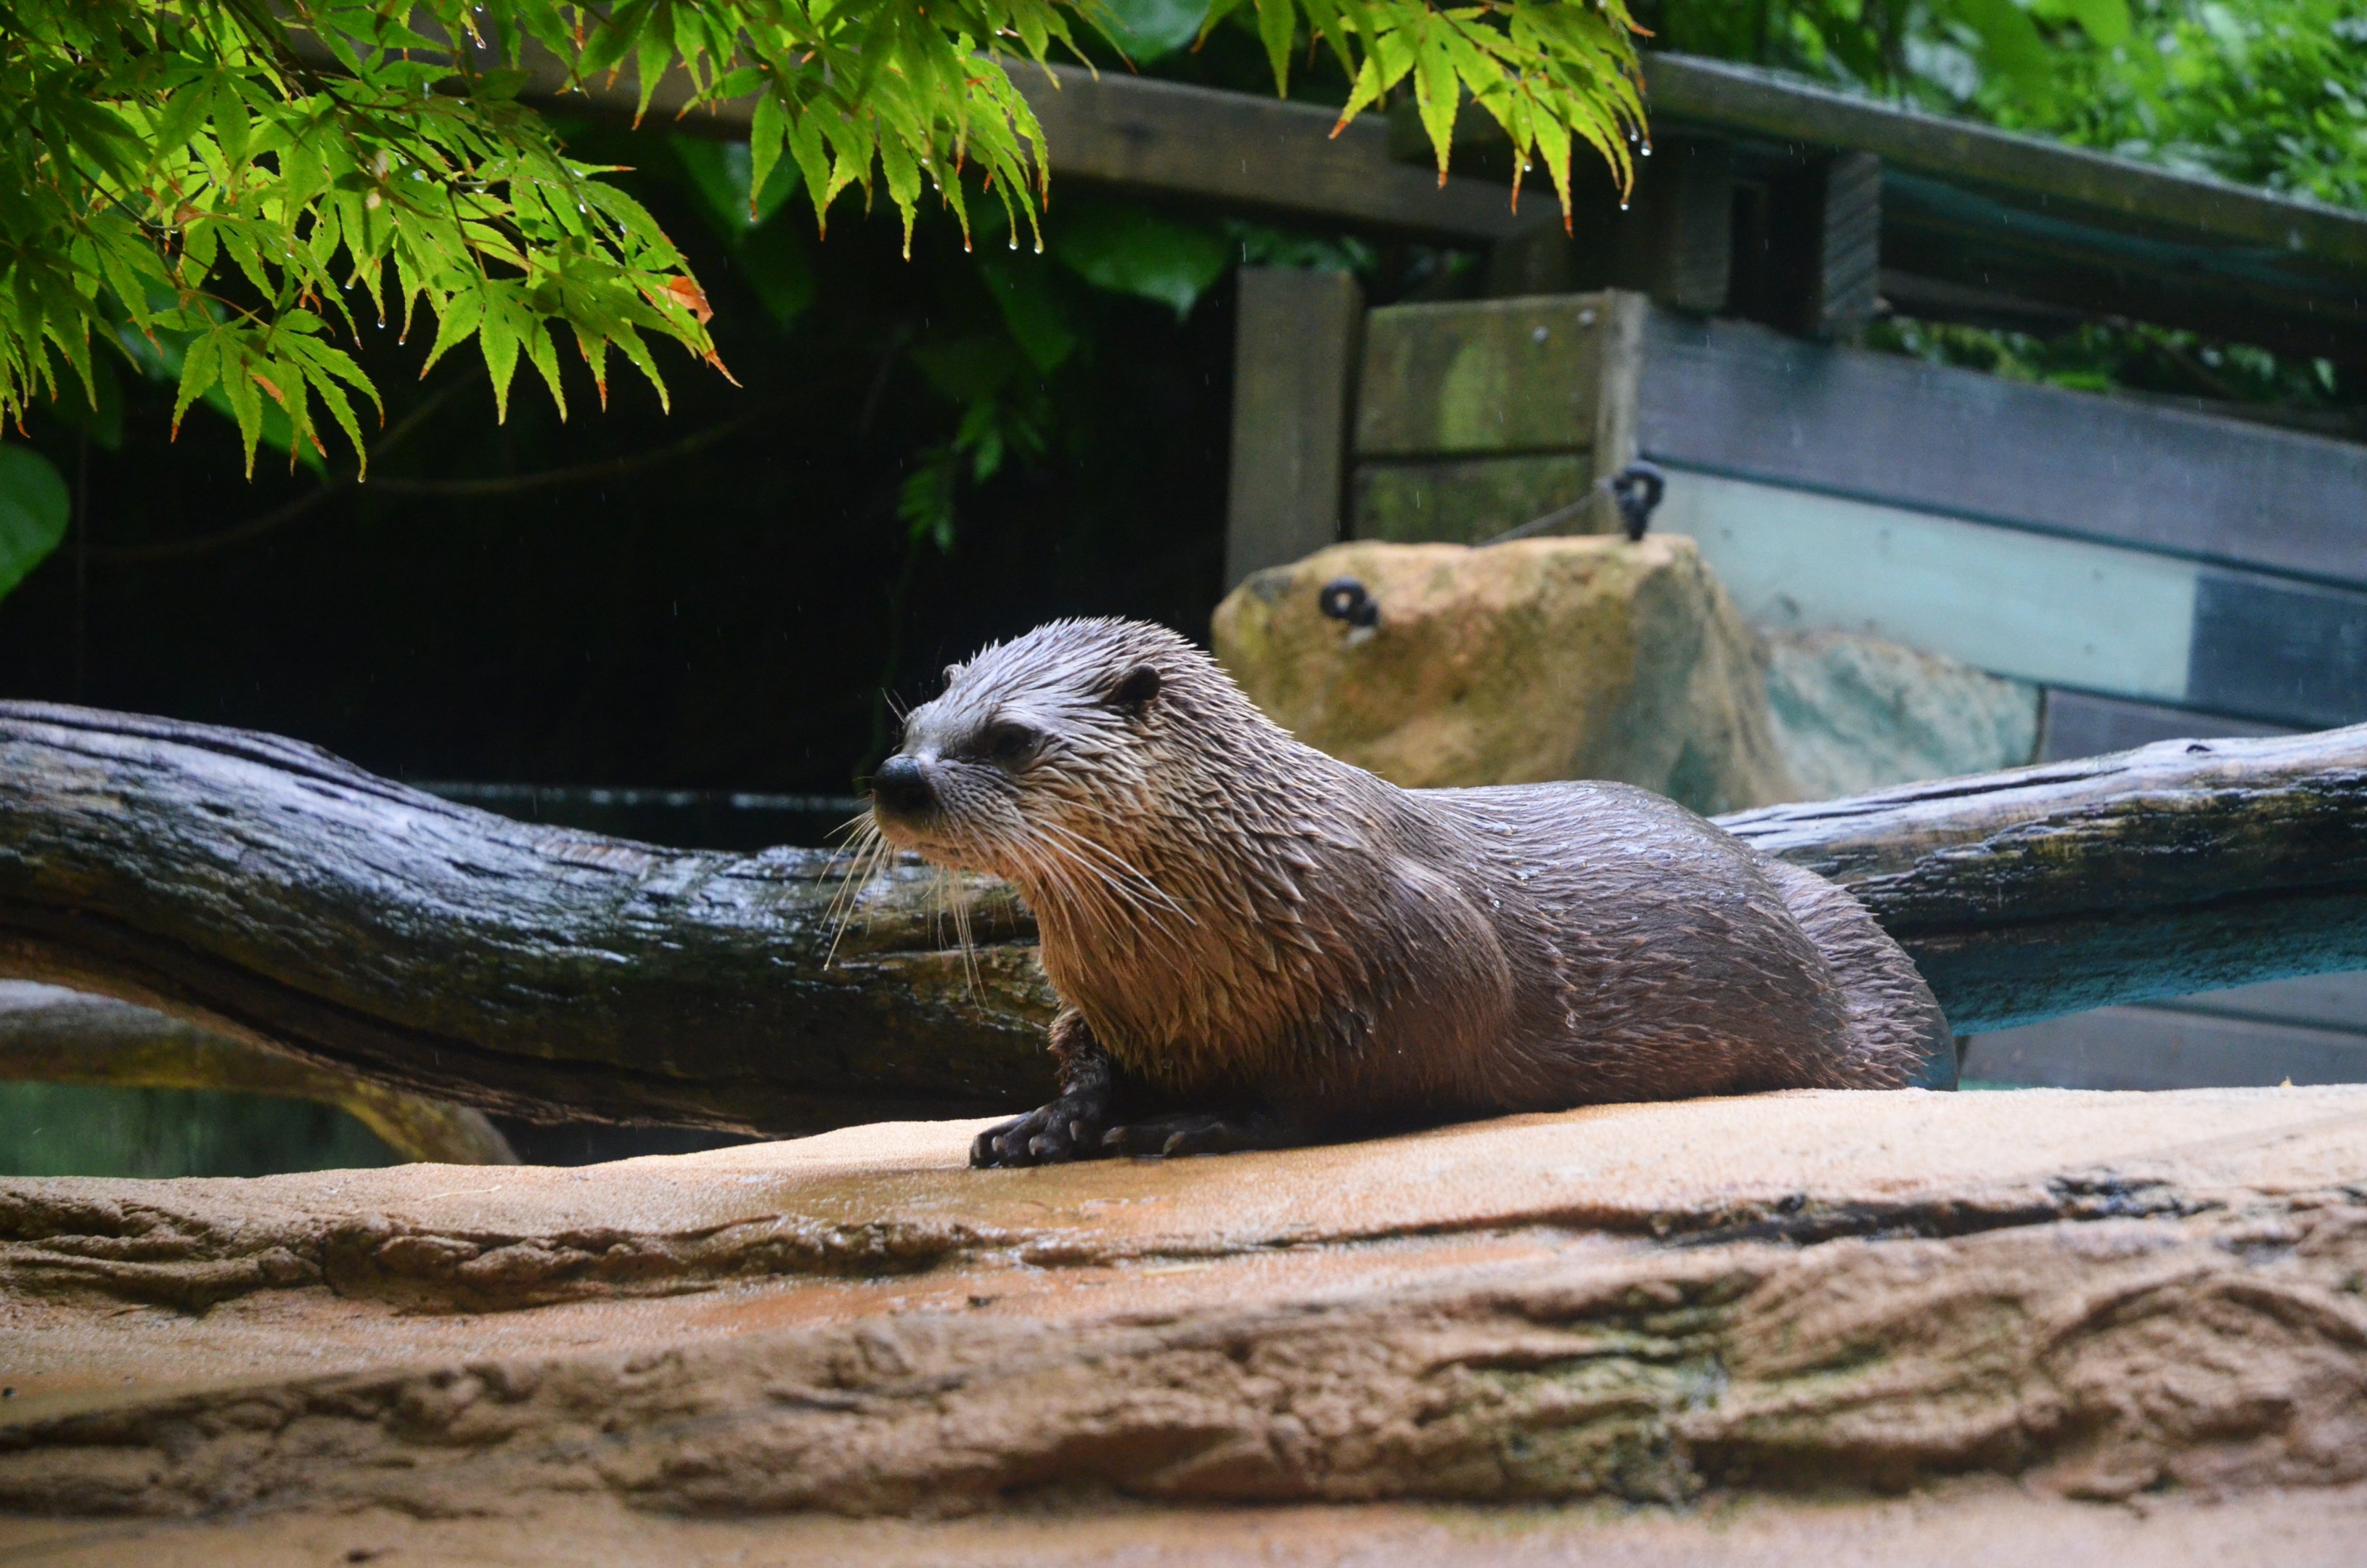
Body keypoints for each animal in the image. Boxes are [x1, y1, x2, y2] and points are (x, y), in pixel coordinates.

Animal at [867, 618, 1953, 1168]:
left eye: (1010, 737)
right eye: (914, 722)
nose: (897, 778)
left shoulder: (1426, 958)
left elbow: (1358, 1080)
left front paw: (1212, 1124)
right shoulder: (1104, 1006)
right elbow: (1081, 1054)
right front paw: (1048, 1125)